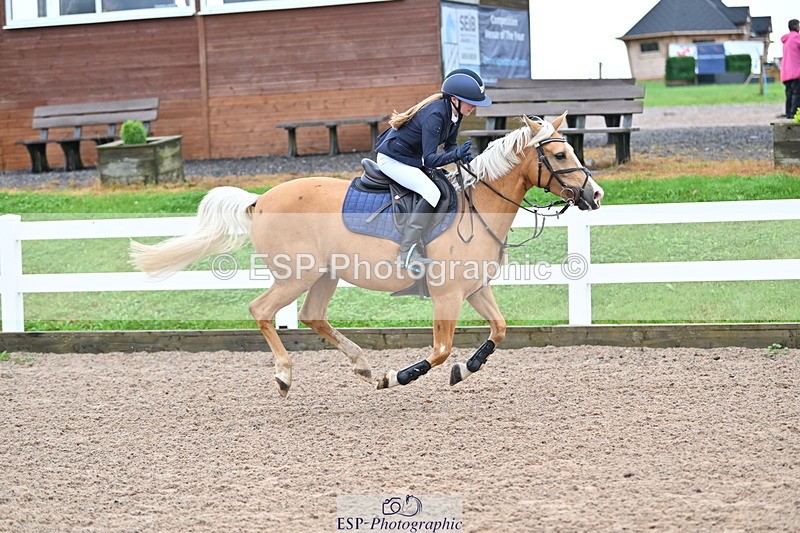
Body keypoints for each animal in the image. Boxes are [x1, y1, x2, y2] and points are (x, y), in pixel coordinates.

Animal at [130, 112, 603, 397]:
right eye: (559, 153)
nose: (595, 194)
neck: (478, 207)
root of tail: (260, 199)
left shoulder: (474, 289)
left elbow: (500, 331)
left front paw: (464, 370)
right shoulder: (448, 295)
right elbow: (440, 349)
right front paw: (399, 376)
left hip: (325, 275)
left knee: (312, 316)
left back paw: (361, 366)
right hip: (296, 275)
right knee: (262, 310)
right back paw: (285, 375)